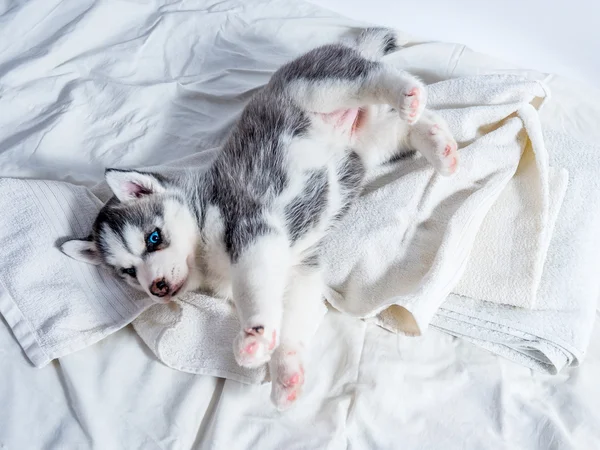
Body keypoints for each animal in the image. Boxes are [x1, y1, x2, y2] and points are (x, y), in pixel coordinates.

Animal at [61, 27, 458, 408]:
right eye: (128, 273)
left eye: (153, 238)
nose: (155, 288)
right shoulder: (300, 270)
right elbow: (292, 316)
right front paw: (286, 373)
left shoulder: (253, 232)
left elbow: (251, 289)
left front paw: (253, 336)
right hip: (372, 143)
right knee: (411, 126)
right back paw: (441, 146)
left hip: (318, 88)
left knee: (373, 76)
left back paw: (407, 93)